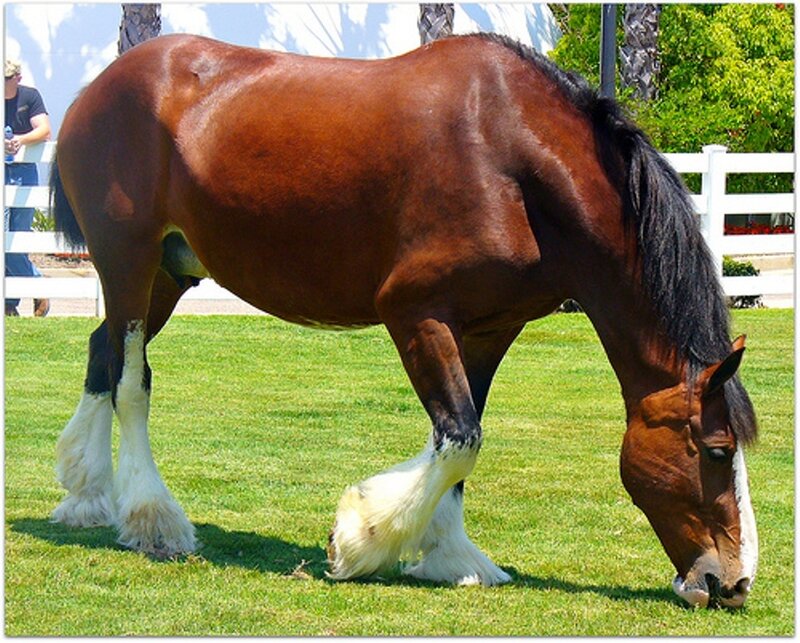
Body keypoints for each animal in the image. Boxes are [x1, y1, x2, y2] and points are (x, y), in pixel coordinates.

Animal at [49, 33, 758, 609]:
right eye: (717, 450)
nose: (733, 581)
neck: (512, 155)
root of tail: (98, 87)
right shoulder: (414, 312)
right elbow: (459, 437)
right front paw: (362, 539)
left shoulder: (487, 328)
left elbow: (461, 434)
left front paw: (448, 553)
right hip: (129, 260)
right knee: (131, 381)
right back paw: (152, 518)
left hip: (167, 275)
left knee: (101, 354)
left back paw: (87, 497)